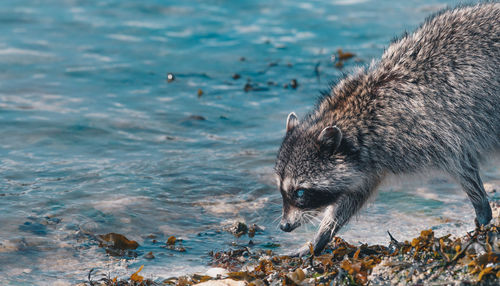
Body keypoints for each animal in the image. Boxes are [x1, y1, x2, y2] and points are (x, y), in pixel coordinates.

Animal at [276, 2, 498, 256]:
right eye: (281, 190)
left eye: (300, 192)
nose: (284, 226)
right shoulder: (367, 165)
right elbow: (350, 199)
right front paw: (320, 237)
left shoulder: (434, 136)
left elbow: (464, 169)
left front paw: (482, 217)